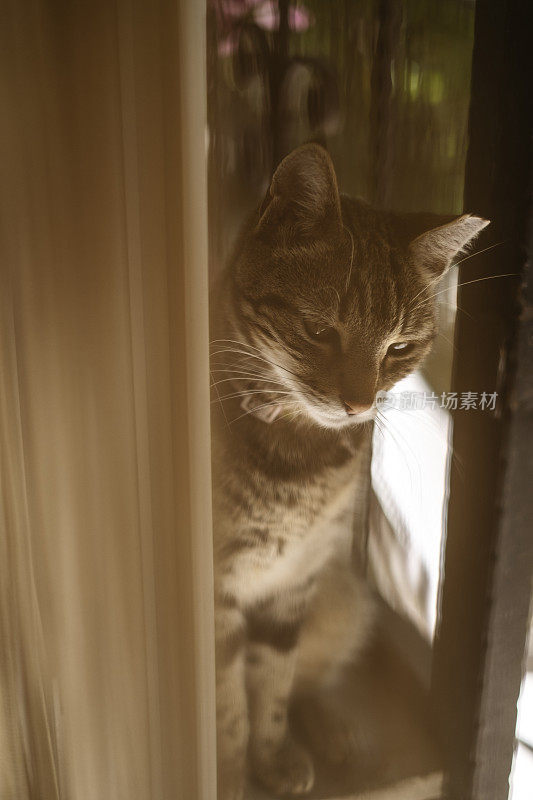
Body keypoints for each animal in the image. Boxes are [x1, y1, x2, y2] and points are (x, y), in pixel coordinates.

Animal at [210, 145, 488, 800]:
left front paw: (272, 755)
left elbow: (272, 684)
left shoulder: (293, 582)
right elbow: (229, 705)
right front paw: (231, 775)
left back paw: (331, 731)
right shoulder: (220, 593)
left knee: (308, 677)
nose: (359, 406)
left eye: (399, 348)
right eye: (318, 331)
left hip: (342, 595)